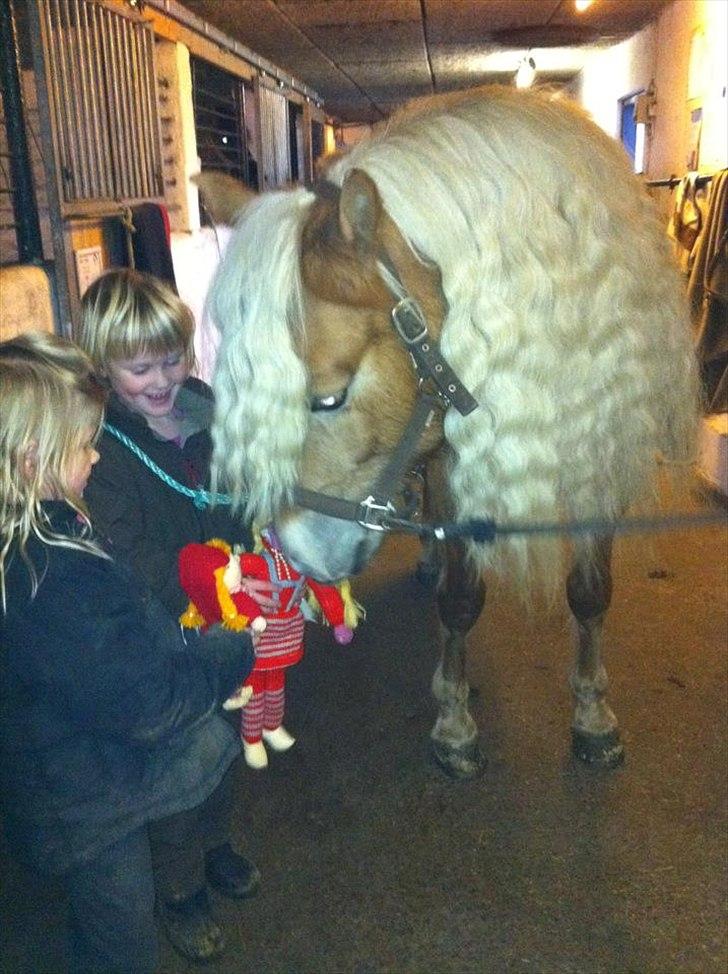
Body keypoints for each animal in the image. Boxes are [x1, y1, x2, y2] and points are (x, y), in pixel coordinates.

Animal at [196, 87, 696, 780]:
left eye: (329, 398)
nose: (300, 555)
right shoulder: (455, 463)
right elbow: (460, 600)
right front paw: (455, 722)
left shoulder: (602, 454)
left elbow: (591, 594)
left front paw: (594, 714)